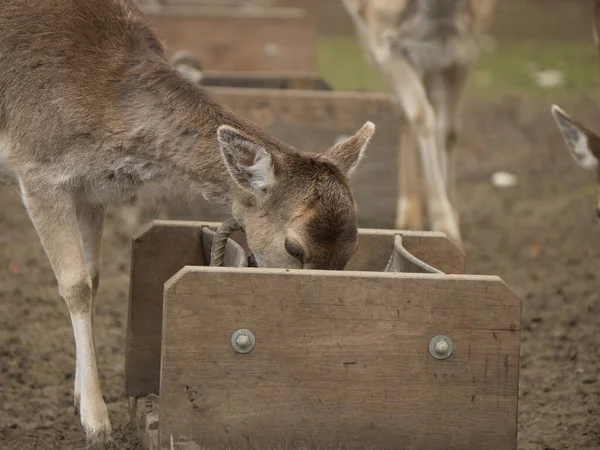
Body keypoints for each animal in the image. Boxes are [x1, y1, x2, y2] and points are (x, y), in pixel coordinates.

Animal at [0, 0, 376, 446]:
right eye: (294, 248)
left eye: (352, 248)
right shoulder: (37, 168)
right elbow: (74, 286)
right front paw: (97, 423)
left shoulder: (90, 190)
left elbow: (92, 278)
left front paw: (78, 397)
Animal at [340, 0, 494, 250]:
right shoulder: (387, 44)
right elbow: (421, 117)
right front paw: (445, 226)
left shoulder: (464, 52)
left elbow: (450, 130)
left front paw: (452, 220)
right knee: (409, 111)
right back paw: (409, 213)